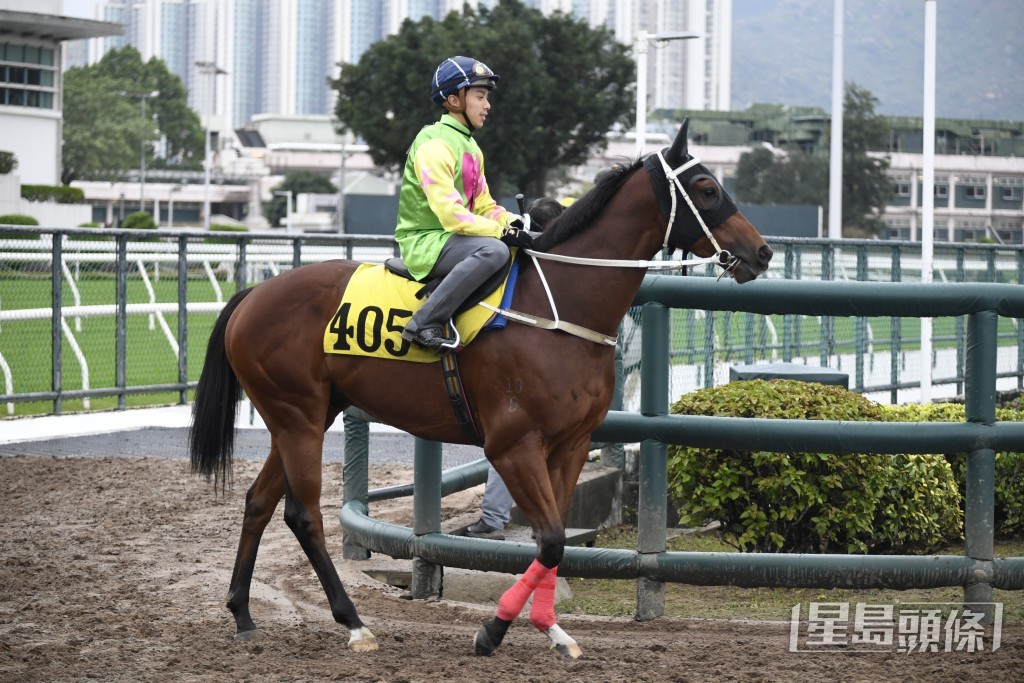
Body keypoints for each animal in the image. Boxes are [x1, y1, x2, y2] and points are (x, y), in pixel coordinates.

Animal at [188, 120, 770, 659]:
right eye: (707, 187)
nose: (762, 252)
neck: (559, 307)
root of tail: (254, 294)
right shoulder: (512, 446)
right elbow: (551, 540)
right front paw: (494, 629)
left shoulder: (571, 445)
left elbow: (556, 541)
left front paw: (552, 629)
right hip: (298, 415)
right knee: (303, 515)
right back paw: (353, 623)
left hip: (303, 416)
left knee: (259, 502)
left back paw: (242, 612)